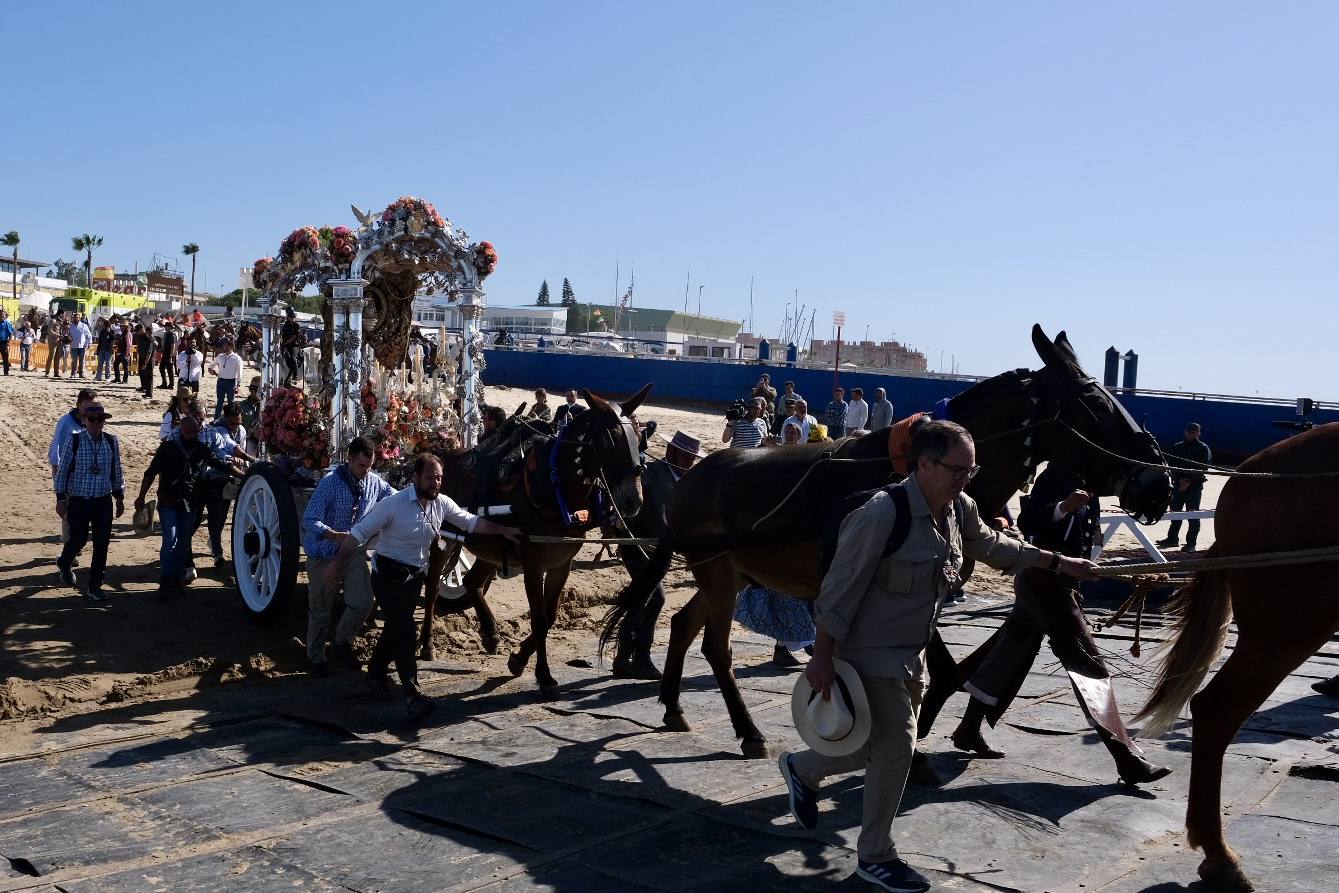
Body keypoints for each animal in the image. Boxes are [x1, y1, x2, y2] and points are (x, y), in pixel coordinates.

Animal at [417, 388, 648, 701]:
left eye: (638, 435)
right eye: (607, 440)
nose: (634, 500)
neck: (555, 488)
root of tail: (443, 458)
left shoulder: (562, 564)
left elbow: (549, 616)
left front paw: (518, 659)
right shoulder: (533, 564)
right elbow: (538, 618)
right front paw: (543, 674)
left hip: (488, 545)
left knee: (472, 581)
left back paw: (490, 633)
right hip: (444, 539)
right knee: (431, 587)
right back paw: (428, 643)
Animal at [599, 325, 1172, 760]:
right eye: (1093, 402)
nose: (1160, 481)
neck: (914, 471)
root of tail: (689, 478)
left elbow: (941, 669)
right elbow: (940, 670)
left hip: (731, 572)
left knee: (681, 624)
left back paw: (673, 707)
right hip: (718, 572)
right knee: (716, 647)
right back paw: (747, 731)